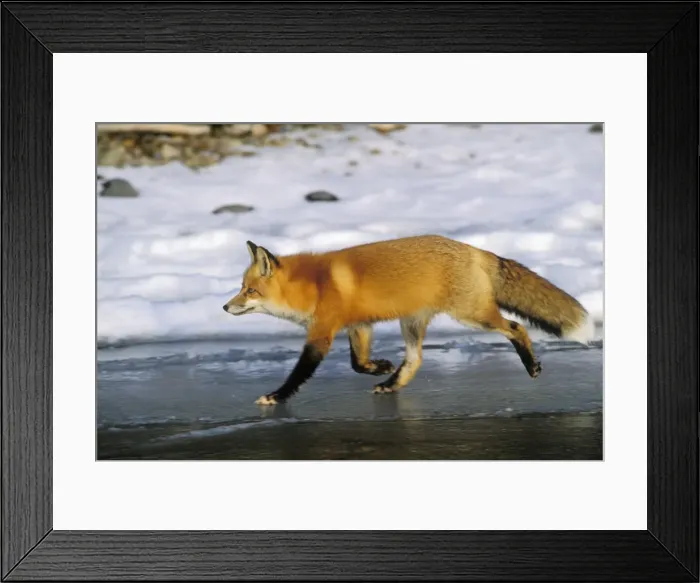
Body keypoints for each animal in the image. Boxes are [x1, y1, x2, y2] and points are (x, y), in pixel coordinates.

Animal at [223, 235, 593, 406]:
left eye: (250, 290)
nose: (226, 307)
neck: (313, 285)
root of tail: (473, 249)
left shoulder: (322, 333)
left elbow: (299, 373)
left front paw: (276, 396)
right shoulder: (359, 325)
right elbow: (358, 363)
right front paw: (382, 367)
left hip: (472, 316)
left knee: (516, 328)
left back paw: (531, 365)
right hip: (412, 323)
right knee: (416, 360)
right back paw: (391, 383)